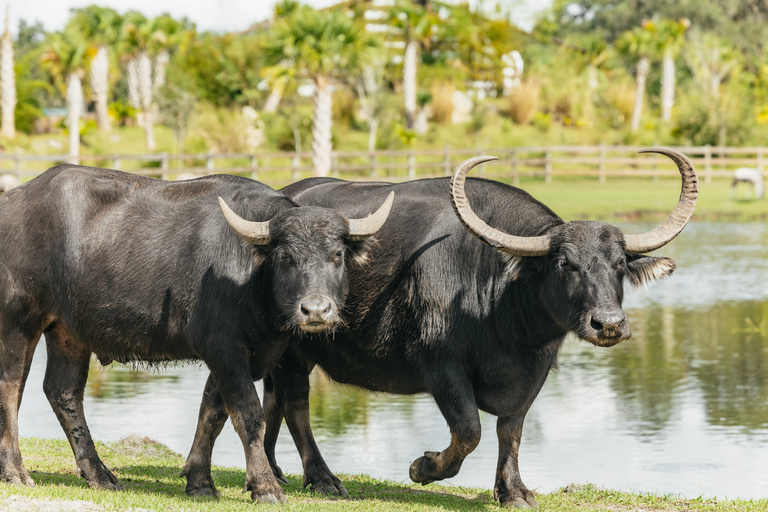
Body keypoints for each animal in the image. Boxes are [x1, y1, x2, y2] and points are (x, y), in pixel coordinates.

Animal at [0, 165, 390, 504]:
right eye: (284, 257)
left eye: (337, 254)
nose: (316, 311)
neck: (251, 277)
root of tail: (12, 201)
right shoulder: (223, 346)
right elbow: (248, 414)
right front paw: (265, 486)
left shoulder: (243, 353)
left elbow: (213, 412)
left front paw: (200, 481)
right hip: (19, 320)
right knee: (11, 386)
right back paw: (16, 471)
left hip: (69, 331)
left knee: (63, 392)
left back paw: (99, 473)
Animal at [183, 146, 700, 506]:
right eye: (566, 264)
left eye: (619, 264)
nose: (607, 323)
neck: (502, 307)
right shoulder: (441, 367)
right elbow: (470, 429)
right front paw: (422, 467)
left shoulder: (534, 375)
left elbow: (510, 430)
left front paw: (513, 491)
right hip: (292, 347)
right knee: (290, 403)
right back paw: (321, 479)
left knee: (271, 400)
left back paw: (276, 471)